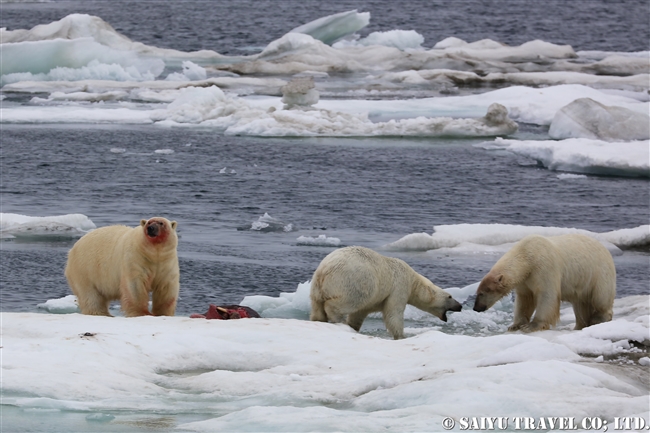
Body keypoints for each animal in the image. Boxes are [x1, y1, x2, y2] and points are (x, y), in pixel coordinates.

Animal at [308, 245, 460, 340]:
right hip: (355, 282)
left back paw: (319, 319)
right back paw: (338, 320)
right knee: (346, 302)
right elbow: (393, 313)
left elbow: (360, 314)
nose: (460, 306)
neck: (413, 280)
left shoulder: (376, 299)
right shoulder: (399, 287)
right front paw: (401, 336)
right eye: (450, 296)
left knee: (317, 307)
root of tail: (325, 269)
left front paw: (353, 327)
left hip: (316, 287)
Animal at [470, 233, 612, 330]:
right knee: (580, 305)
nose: (476, 308)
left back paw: (598, 319)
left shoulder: (544, 267)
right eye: (477, 292)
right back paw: (580, 325)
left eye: (482, 293)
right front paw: (515, 325)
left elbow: (547, 295)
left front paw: (532, 326)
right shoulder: (525, 279)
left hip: (599, 273)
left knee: (600, 298)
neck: (527, 256)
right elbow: (525, 299)